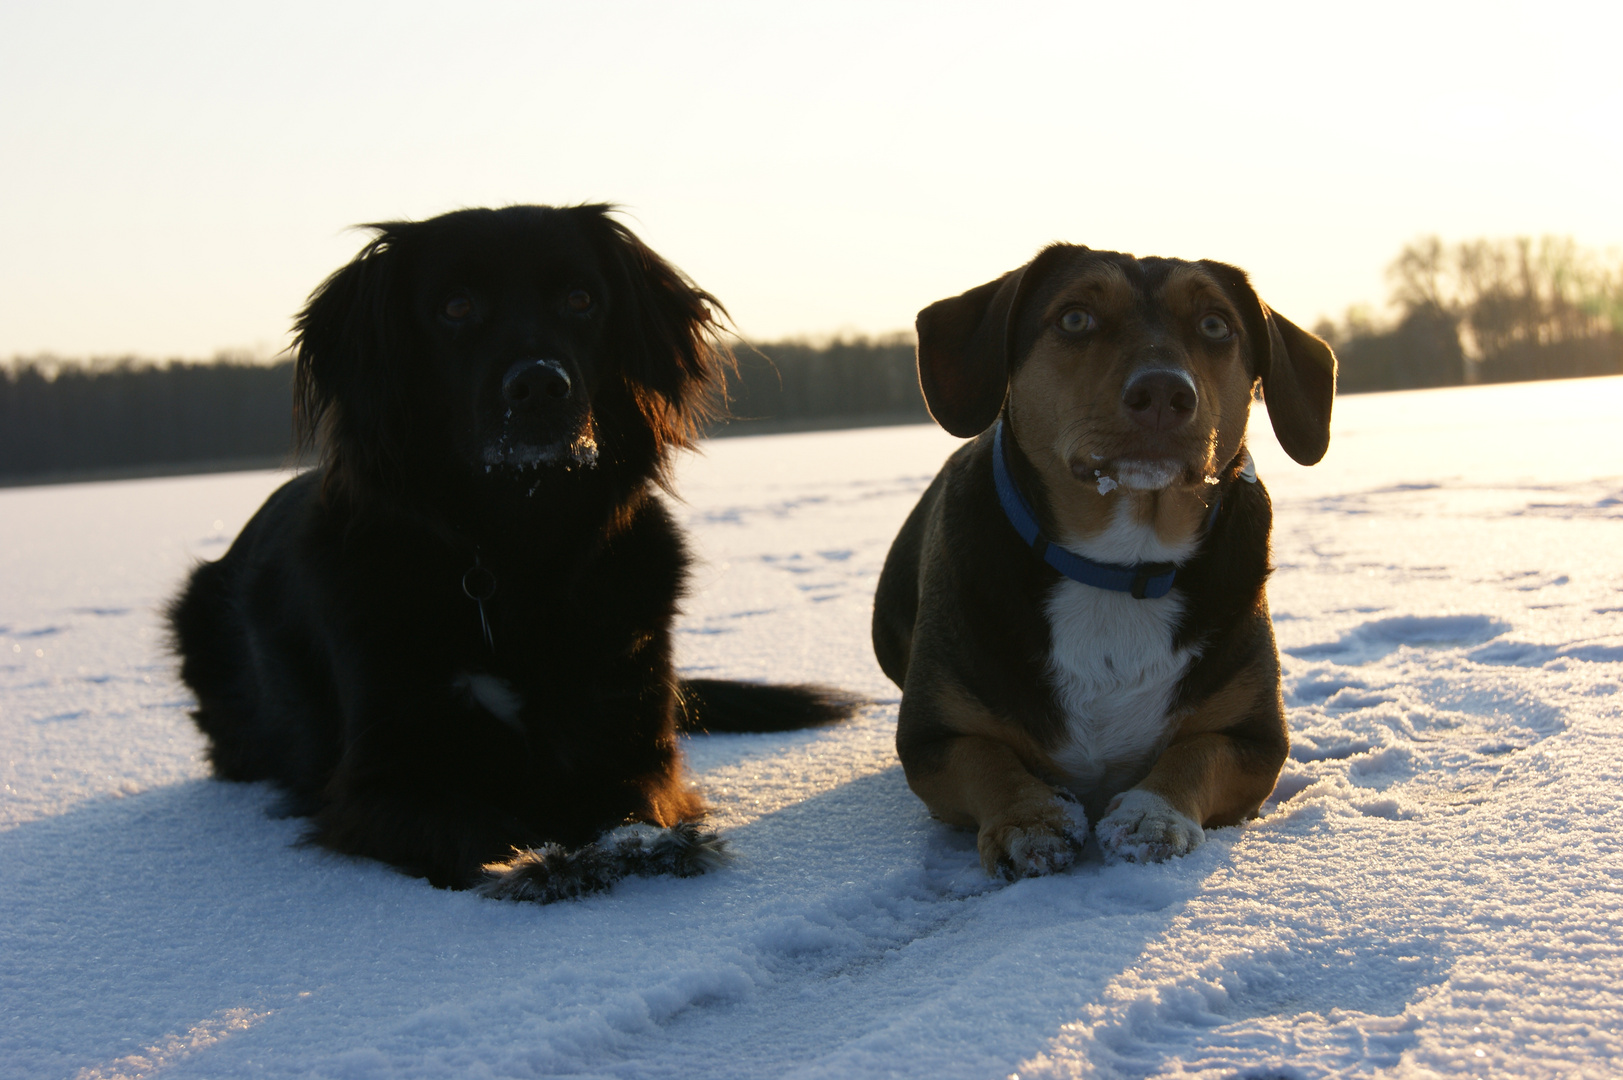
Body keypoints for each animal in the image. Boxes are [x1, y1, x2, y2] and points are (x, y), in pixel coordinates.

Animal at [174, 204, 863, 902]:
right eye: (455, 306)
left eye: (581, 299)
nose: (538, 384)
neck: (517, 546)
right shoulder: (382, 775)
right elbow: (476, 828)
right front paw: (540, 862)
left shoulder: (629, 733)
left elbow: (635, 800)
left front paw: (635, 846)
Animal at [876, 243, 1330, 876]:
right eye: (1074, 318)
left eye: (1216, 325)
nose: (1164, 393)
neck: (1119, 566)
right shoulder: (931, 740)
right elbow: (986, 761)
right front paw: (1030, 820)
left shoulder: (1256, 738)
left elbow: (1199, 753)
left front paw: (1152, 816)